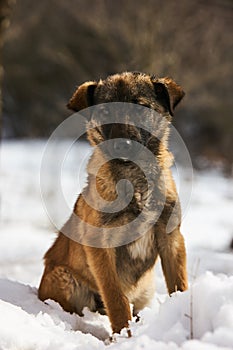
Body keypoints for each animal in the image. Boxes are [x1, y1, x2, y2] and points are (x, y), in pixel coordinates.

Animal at [37, 71, 187, 336]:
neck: (134, 179)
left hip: (146, 289)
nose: (123, 145)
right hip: (65, 279)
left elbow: (179, 284)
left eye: (141, 107)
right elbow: (116, 298)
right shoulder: (101, 247)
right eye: (106, 111)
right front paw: (124, 336)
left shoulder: (171, 238)